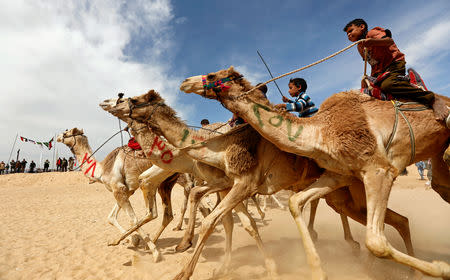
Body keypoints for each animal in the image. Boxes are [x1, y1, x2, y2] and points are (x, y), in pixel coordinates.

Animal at [102, 89, 418, 280]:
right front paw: (222, 264)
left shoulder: (238, 183)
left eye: (131, 100)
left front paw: (184, 266)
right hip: (342, 189)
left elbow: (218, 219)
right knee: (383, 216)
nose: (104, 102)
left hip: (349, 183)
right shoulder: (228, 185)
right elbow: (233, 221)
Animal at [179, 66, 450, 280]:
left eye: (212, 74)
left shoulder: (379, 168)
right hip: (434, 156)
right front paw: (318, 271)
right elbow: (295, 203)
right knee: (422, 202)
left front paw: (441, 268)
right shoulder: (339, 173)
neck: (321, 131)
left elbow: (376, 241)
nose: (185, 82)